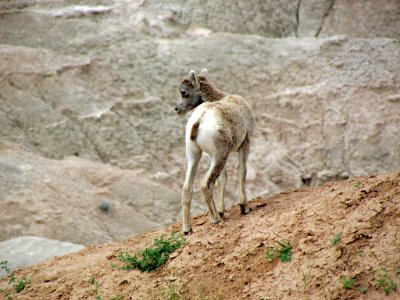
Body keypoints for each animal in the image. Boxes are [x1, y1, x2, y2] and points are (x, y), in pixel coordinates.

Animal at [174, 68, 255, 234]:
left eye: (184, 92)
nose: (177, 109)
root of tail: (199, 120)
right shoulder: (245, 144)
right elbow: (241, 171)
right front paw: (244, 207)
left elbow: (223, 179)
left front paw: (222, 210)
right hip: (218, 156)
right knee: (205, 185)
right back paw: (215, 219)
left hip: (194, 155)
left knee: (187, 187)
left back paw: (187, 229)